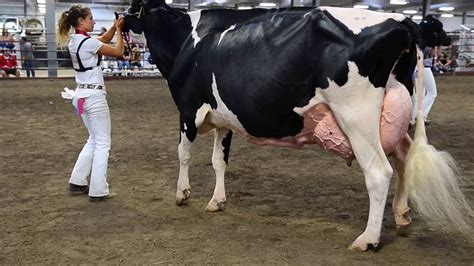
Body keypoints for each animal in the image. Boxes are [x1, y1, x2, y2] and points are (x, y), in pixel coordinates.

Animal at [124, 1, 472, 251]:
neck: (185, 40)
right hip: (394, 113)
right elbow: (218, 161)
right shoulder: (224, 118)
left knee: (379, 172)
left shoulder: (187, 111)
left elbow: (182, 154)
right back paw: (402, 216)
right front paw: (216, 201)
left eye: (131, 8)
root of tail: (401, 21)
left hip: (356, 116)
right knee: (403, 160)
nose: (121, 23)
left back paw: (368, 239)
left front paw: (182, 194)